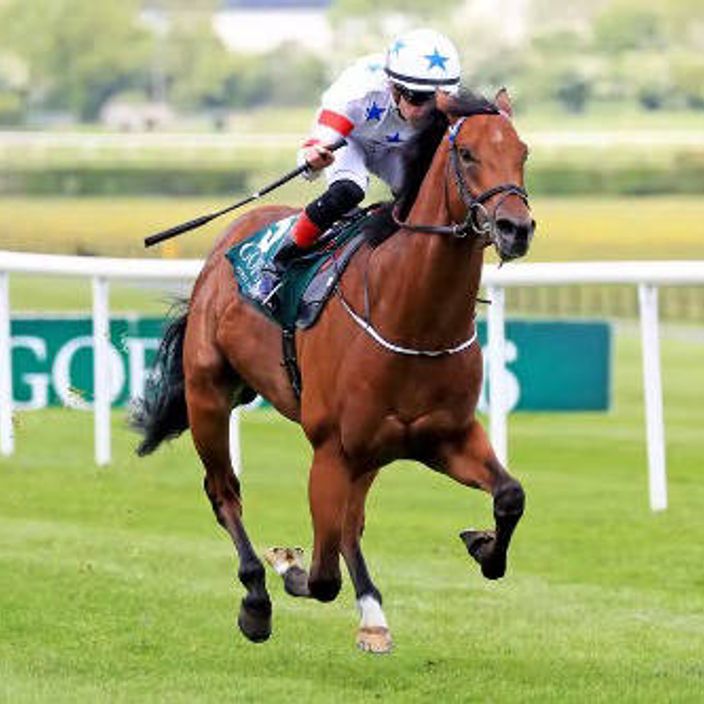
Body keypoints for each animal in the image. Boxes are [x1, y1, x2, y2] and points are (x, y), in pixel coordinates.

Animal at [132, 88, 535, 654]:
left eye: (522, 153)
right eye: (468, 153)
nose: (515, 228)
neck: (412, 318)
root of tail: (229, 238)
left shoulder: (446, 437)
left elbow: (509, 495)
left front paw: (483, 546)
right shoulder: (332, 448)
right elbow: (322, 576)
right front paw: (286, 568)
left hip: (368, 453)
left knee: (349, 524)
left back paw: (372, 613)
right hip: (208, 394)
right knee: (224, 492)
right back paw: (257, 597)